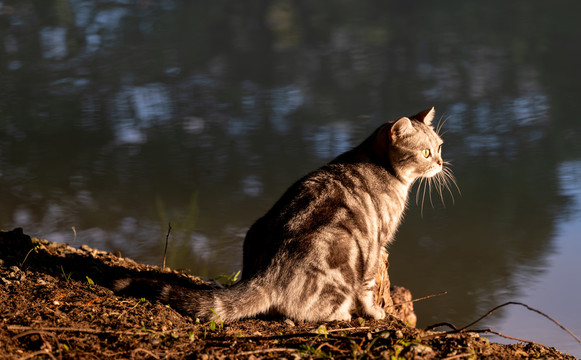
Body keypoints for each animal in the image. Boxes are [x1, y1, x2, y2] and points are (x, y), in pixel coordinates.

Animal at [114, 105, 448, 322]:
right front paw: (375, 313)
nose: (441, 163)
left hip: (255, 228)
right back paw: (340, 315)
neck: (379, 164)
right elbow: (366, 290)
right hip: (344, 248)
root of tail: (267, 273)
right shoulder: (376, 243)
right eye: (426, 152)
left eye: (440, 146)